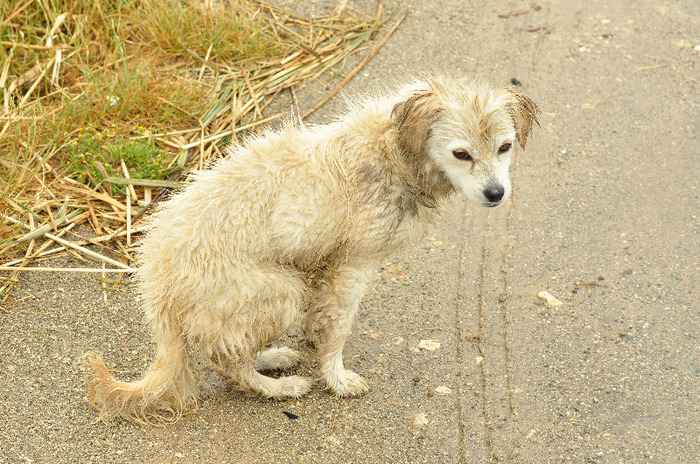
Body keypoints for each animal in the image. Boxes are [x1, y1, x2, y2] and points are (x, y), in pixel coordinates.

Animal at [83, 75, 540, 424]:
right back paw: (279, 387)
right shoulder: (354, 266)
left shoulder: (326, 267)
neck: (393, 152)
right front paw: (336, 379)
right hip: (278, 290)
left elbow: (319, 321)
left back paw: (270, 359)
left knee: (229, 348)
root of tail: (157, 285)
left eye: (504, 147)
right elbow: (337, 331)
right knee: (228, 364)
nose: (496, 194)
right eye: (461, 153)